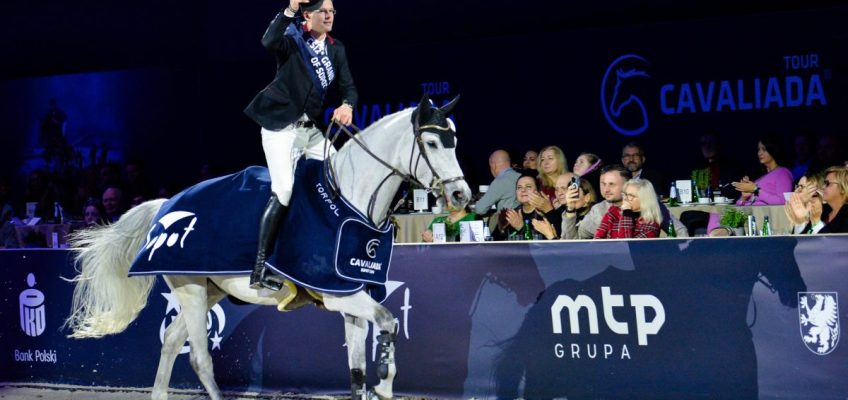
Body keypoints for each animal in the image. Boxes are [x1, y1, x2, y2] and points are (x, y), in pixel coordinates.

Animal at [64, 97, 470, 400]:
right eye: (432, 143)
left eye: (455, 141)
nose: (460, 195)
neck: (349, 199)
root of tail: (167, 204)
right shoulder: (337, 294)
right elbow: (388, 321)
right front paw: (386, 382)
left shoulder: (351, 294)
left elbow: (356, 371)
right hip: (190, 287)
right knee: (198, 357)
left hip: (209, 290)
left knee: (173, 343)